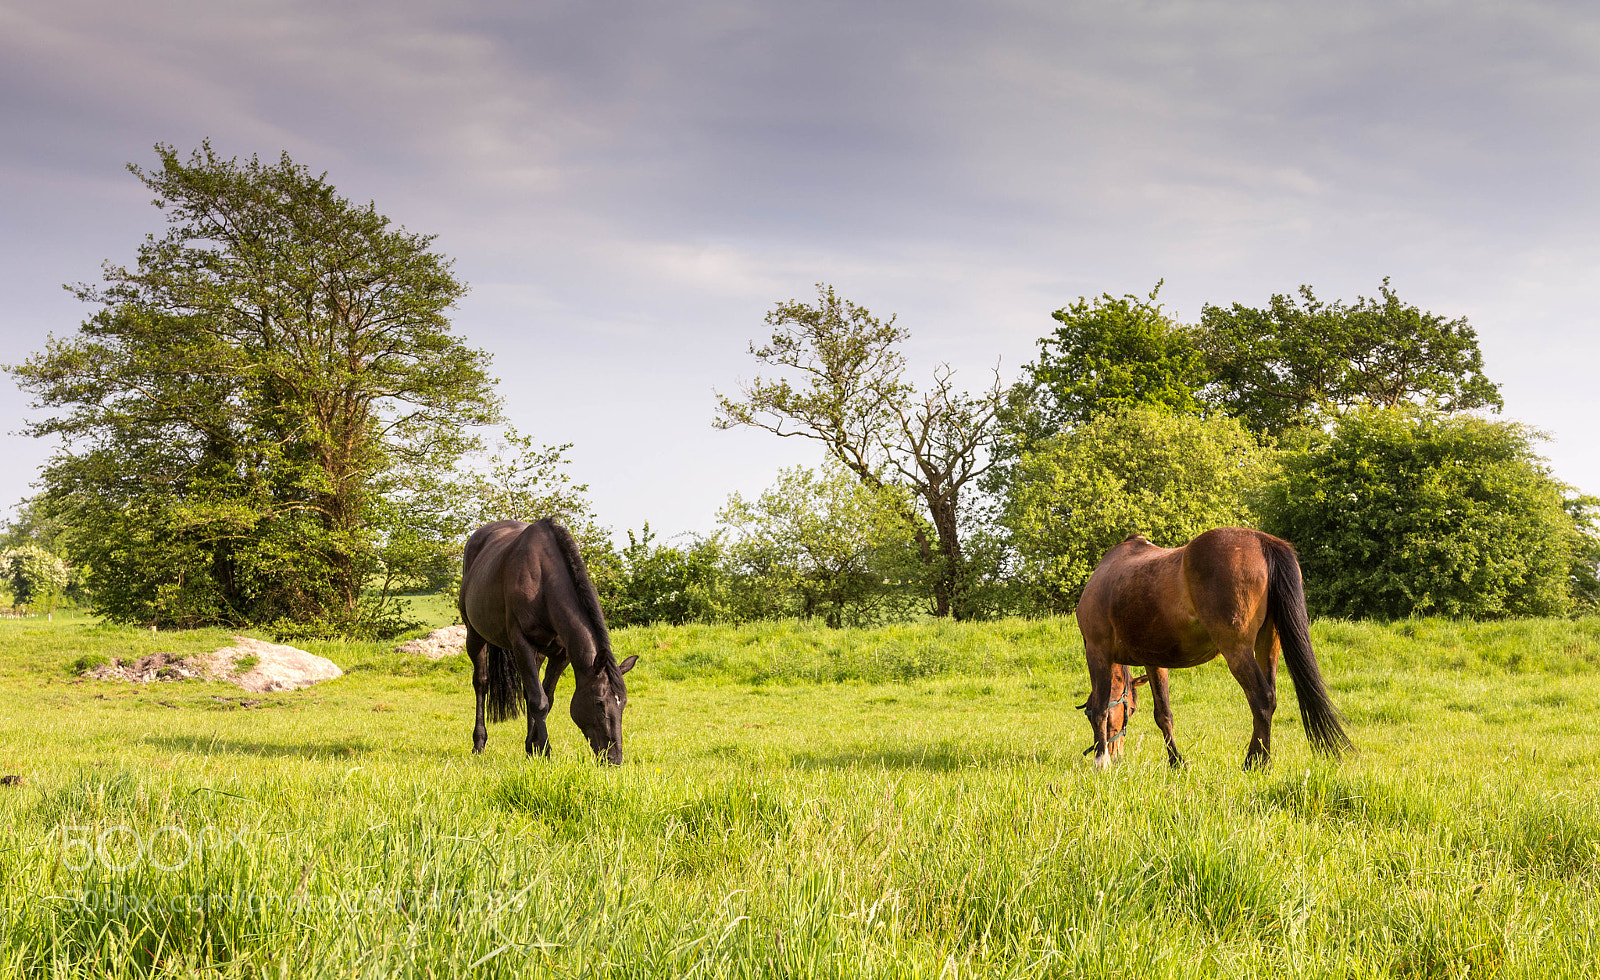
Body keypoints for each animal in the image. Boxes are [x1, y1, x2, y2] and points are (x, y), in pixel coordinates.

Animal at [459, 518, 638, 764]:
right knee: (481, 683)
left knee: (528, 691)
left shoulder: (561, 654)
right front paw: (544, 750)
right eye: (599, 702)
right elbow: (539, 701)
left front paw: (533, 747)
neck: (543, 581)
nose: (614, 758)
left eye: (624, 703)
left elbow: (546, 698)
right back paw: (479, 743)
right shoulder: (521, 644)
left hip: (538, 653)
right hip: (475, 636)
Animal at [1076, 527, 1351, 769]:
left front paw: (1100, 762)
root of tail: (1262, 542)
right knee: (1269, 698)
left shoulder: (1098, 652)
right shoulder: (1154, 661)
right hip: (1269, 644)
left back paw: (1256, 763)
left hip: (1237, 650)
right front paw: (1176, 762)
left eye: (1130, 709)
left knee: (1261, 698)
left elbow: (1101, 707)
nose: (1116, 755)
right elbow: (1163, 715)